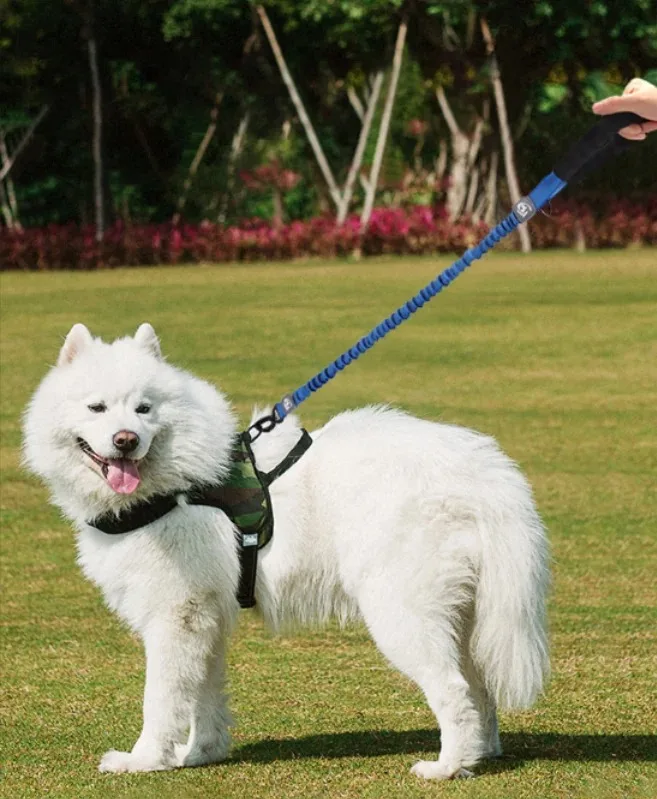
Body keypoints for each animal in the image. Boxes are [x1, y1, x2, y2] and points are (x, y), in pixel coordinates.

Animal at [23, 323, 549, 779]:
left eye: (144, 409)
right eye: (97, 408)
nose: (125, 440)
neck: (175, 484)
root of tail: (482, 471)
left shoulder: (176, 616)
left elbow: (162, 698)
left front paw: (144, 760)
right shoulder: (206, 619)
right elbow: (204, 698)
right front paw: (200, 754)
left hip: (402, 615)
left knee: (455, 691)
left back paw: (447, 768)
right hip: (460, 617)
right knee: (480, 690)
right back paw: (480, 755)